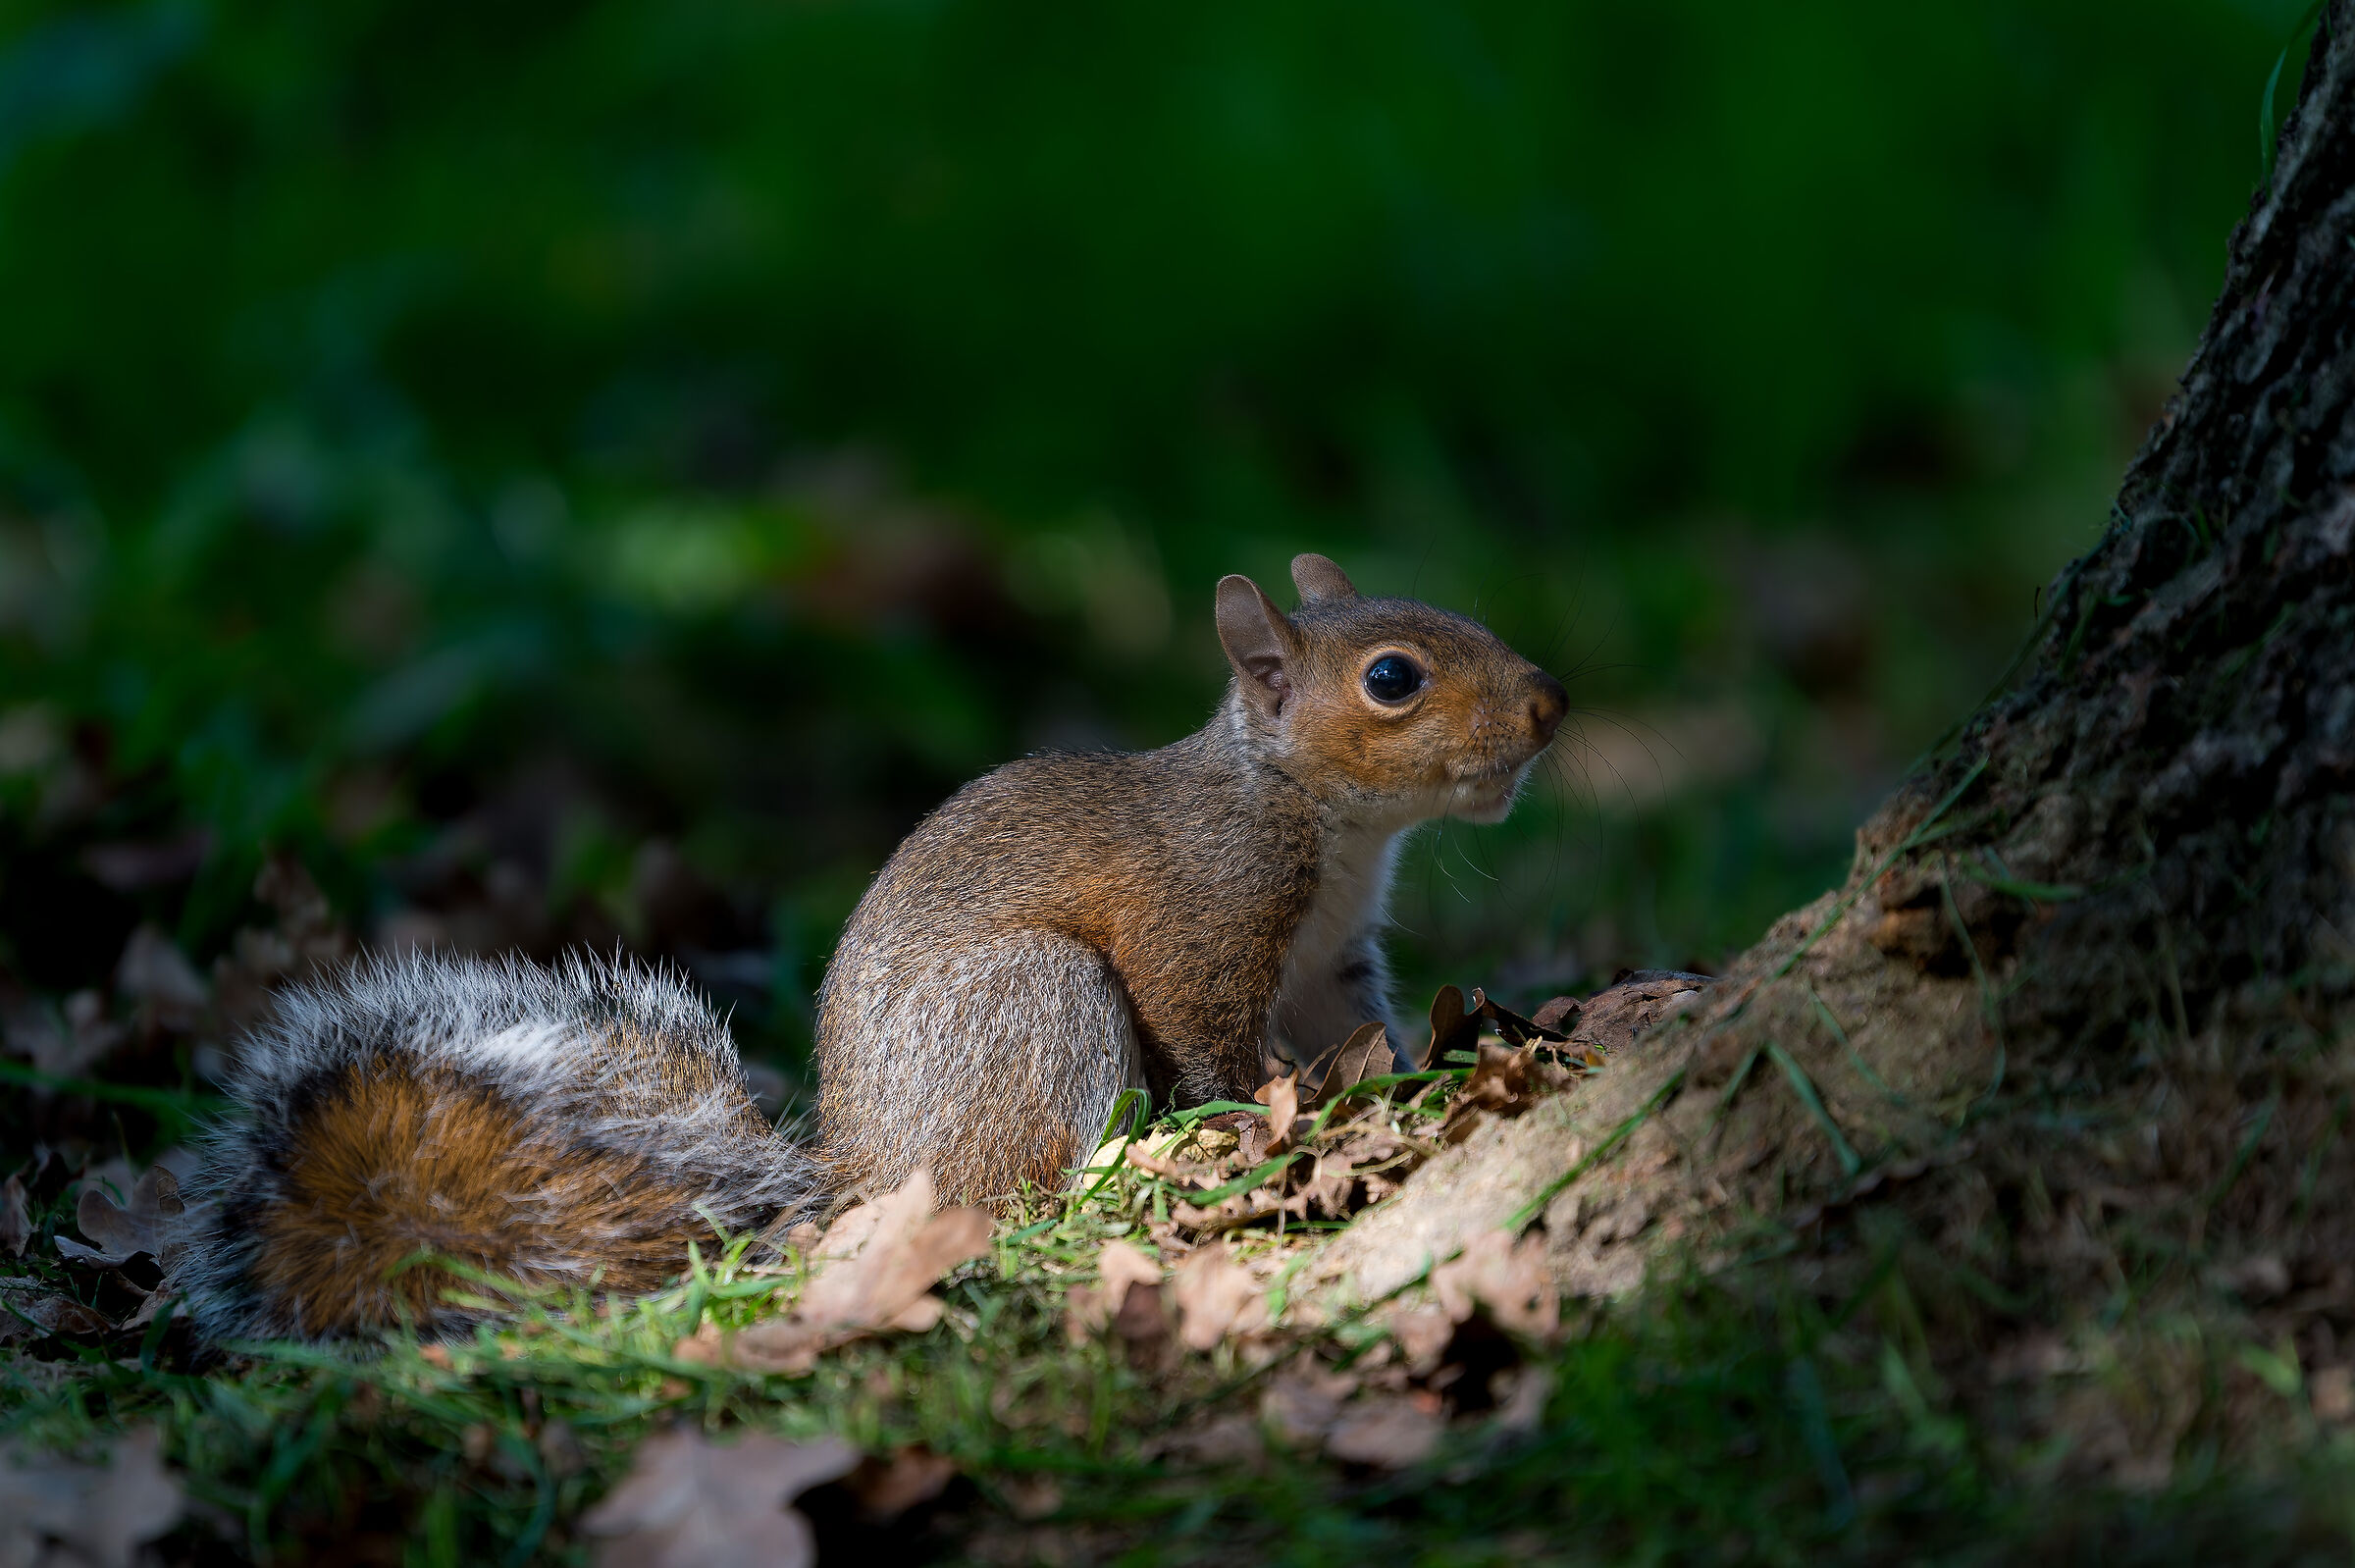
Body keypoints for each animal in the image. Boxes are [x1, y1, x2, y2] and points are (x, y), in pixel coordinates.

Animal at [172, 555, 1566, 1340]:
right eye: (1393, 677)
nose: (1553, 704)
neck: (1327, 824)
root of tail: (859, 1183)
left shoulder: (1333, 962)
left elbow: (1358, 1035)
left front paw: (1423, 1074)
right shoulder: (1202, 918)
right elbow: (1207, 1029)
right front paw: (1255, 1119)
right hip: (1035, 998)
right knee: (1032, 1180)